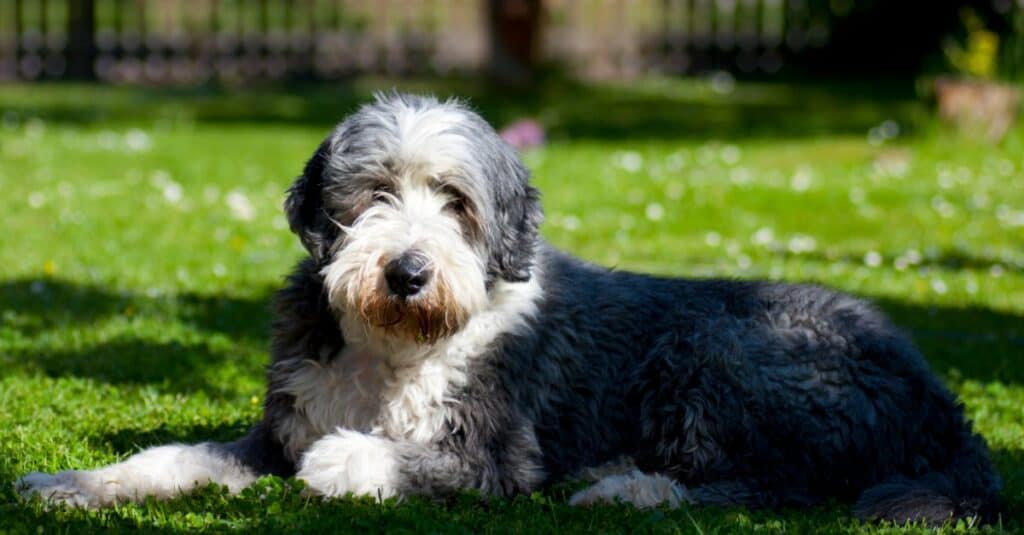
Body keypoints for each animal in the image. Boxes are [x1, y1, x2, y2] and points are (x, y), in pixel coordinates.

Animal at [16, 91, 1003, 520]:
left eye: (456, 201)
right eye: (373, 193)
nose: (407, 270)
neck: (397, 347)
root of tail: (944, 404)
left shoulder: (497, 452)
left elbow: (396, 458)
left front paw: (346, 462)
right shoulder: (278, 428)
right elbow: (176, 456)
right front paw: (70, 484)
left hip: (724, 349)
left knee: (777, 482)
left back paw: (625, 486)